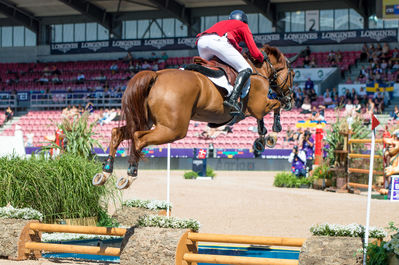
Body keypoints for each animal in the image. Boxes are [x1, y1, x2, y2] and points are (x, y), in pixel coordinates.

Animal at [93, 46, 300, 190]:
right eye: (292, 74)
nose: (291, 99)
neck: (258, 71)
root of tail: (156, 75)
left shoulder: (254, 109)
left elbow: (261, 119)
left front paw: (261, 140)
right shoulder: (259, 105)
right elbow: (275, 106)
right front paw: (273, 133)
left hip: (146, 121)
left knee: (118, 133)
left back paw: (105, 172)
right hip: (174, 129)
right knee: (138, 138)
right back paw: (130, 174)